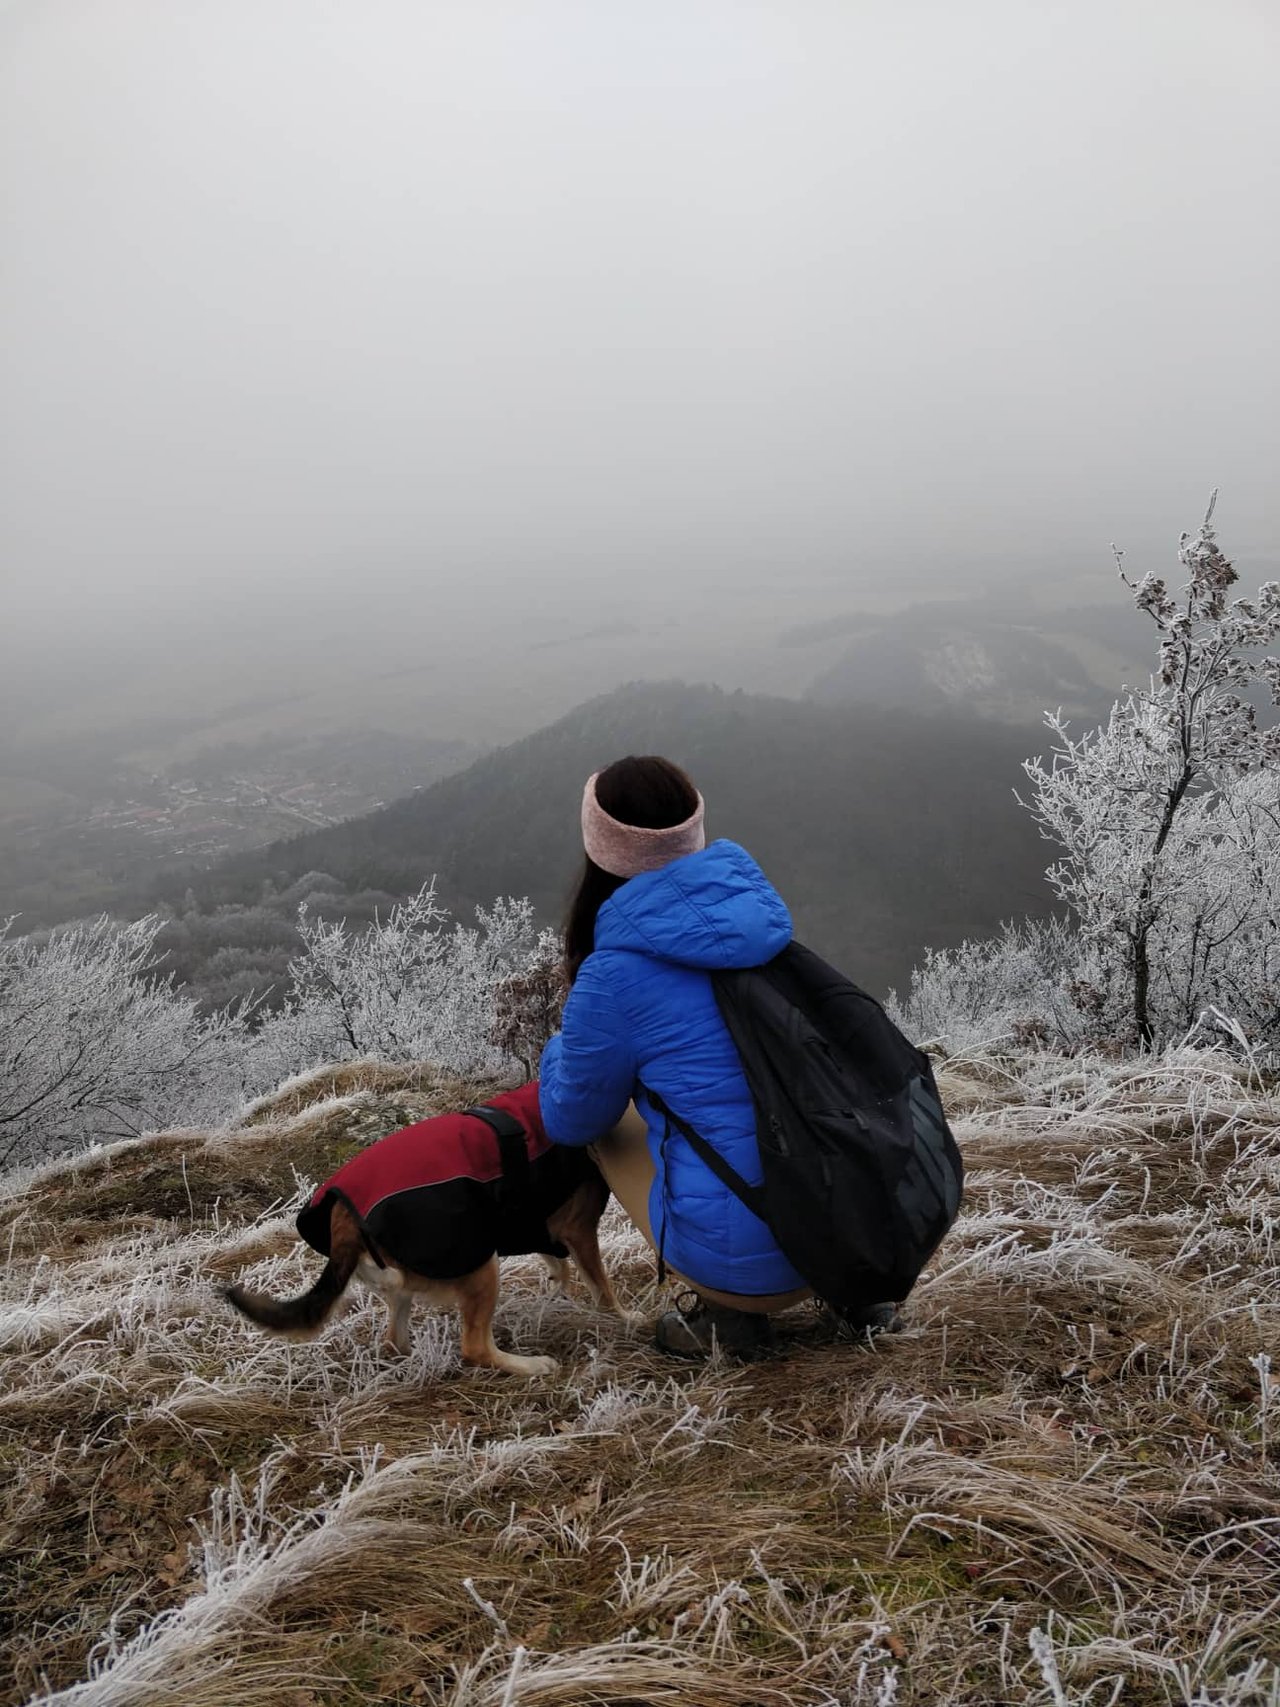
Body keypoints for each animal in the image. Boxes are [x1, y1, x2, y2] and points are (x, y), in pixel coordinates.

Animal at [226, 1085, 638, 1379]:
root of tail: (344, 1214)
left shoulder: (539, 1227)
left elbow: (558, 1267)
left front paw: (559, 1296)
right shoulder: (578, 1230)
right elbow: (602, 1289)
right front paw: (624, 1318)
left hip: (403, 1285)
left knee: (394, 1341)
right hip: (479, 1265)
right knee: (474, 1347)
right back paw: (530, 1365)